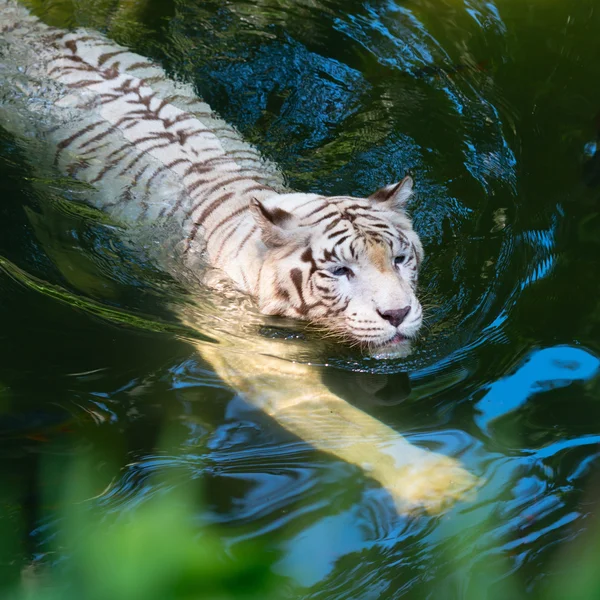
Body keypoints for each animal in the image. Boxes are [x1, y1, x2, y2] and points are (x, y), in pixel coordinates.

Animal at [0, 0, 478, 512]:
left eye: (400, 259)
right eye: (340, 270)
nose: (398, 313)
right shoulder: (252, 355)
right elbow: (343, 422)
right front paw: (433, 479)